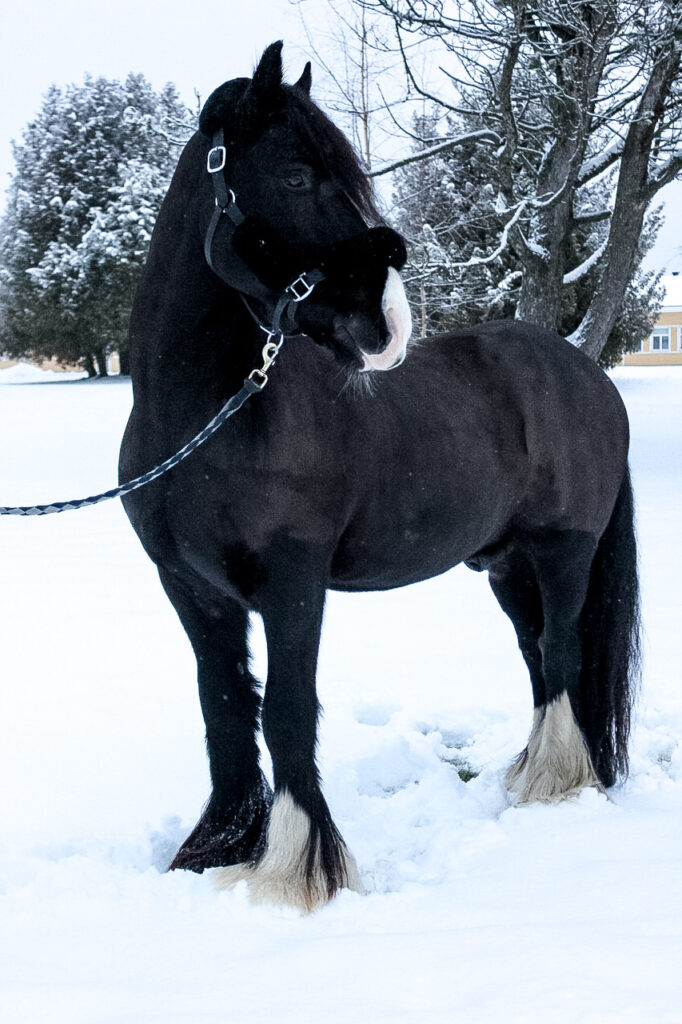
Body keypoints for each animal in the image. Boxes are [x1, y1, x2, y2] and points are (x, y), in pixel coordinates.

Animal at [120, 46, 638, 913]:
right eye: (296, 173)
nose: (387, 327)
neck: (205, 425)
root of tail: (589, 375)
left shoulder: (293, 582)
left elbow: (288, 715)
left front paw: (299, 872)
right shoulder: (192, 590)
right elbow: (225, 711)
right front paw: (218, 850)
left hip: (565, 552)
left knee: (562, 654)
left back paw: (556, 787)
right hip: (507, 566)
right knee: (538, 659)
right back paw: (530, 778)